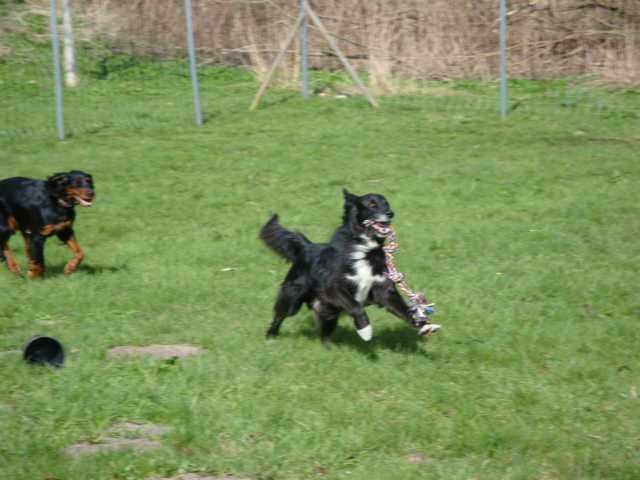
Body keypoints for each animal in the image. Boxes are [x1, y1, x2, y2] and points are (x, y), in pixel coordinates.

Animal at [260, 189, 437, 344]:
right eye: (372, 204)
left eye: (386, 203)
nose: (390, 213)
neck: (365, 250)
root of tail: (307, 247)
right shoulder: (333, 287)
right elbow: (356, 307)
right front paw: (365, 331)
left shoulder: (383, 288)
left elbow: (404, 309)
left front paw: (424, 325)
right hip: (293, 297)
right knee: (279, 316)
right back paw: (270, 338)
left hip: (327, 310)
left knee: (325, 333)